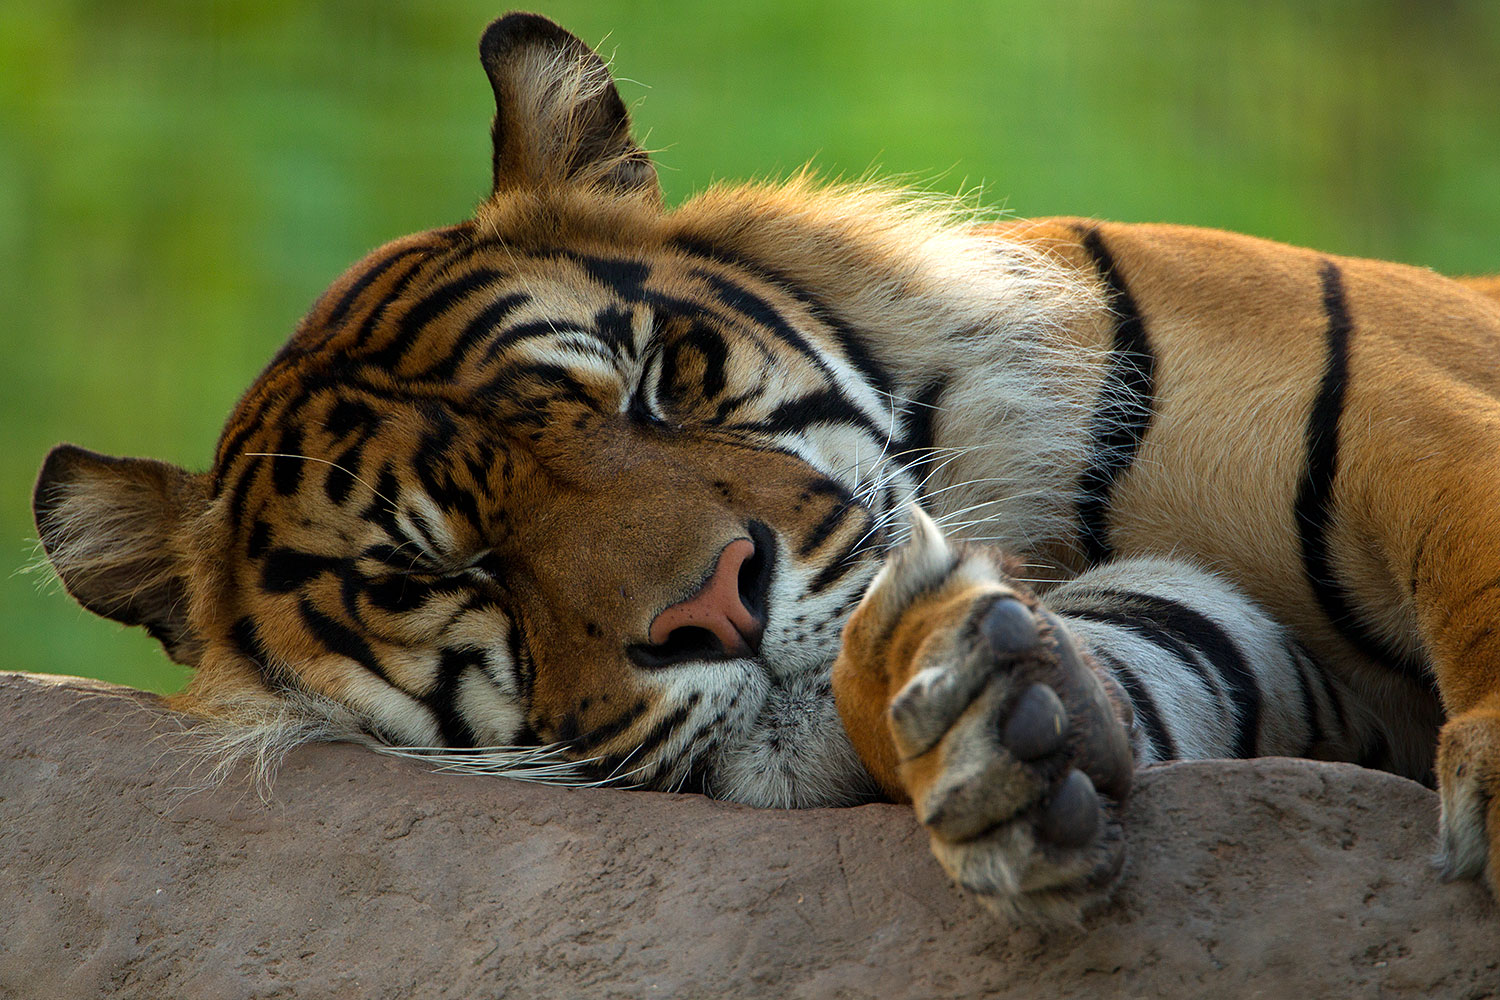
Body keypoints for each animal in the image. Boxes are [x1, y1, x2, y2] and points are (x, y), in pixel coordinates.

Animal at [31, 11, 1500, 923]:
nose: (715, 606)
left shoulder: (1412, 416)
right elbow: (1162, 655)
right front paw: (982, 730)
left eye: (661, 383)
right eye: (435, 572)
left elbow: (1472, 554)